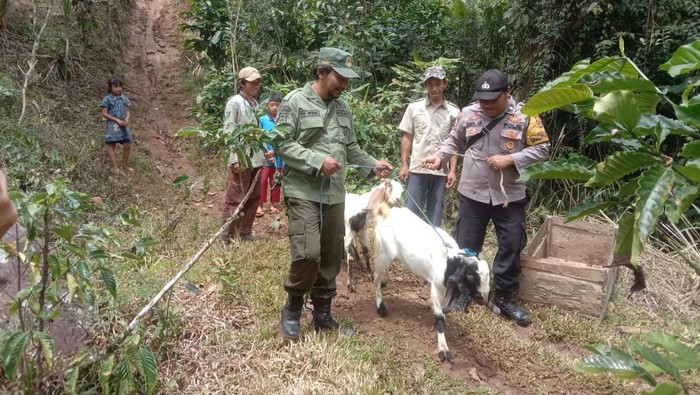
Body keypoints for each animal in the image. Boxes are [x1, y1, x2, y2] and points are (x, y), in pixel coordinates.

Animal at [372, 204, 492, 362]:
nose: (482, 298)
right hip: (384, 253)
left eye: (489, 277)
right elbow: (440, 318)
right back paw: (381, 306)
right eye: (471, 276)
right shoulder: (436, 287)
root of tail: (387, 211)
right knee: (376, 278)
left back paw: (385, 281)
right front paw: (443, 350)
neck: (449, 261)